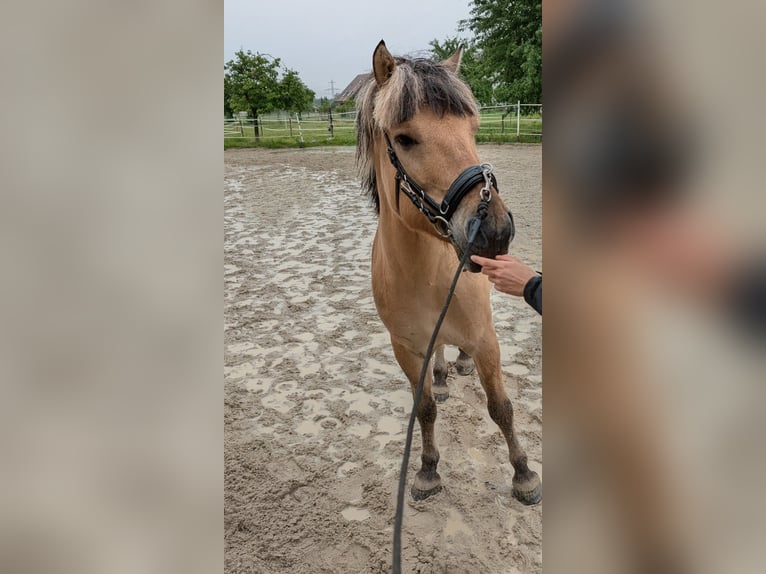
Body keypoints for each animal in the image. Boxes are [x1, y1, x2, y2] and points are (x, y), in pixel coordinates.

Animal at [356, 40, 542, 505]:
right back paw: (441, 376)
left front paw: (524, 474)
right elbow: (423, 409)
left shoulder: (486, 339)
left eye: (472, 129)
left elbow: (501, 408)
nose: (495, 231)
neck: (423, 274)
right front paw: (427, 469)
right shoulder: (406, 349)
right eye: (405, 138)